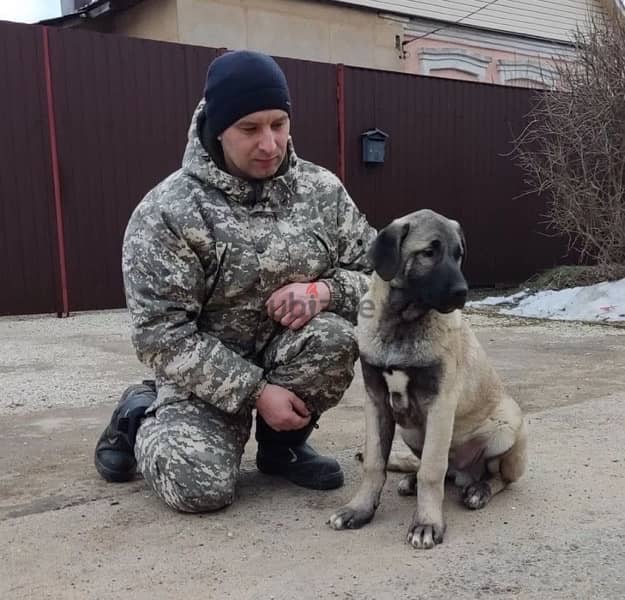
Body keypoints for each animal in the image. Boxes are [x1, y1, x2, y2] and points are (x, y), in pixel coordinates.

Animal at [326, 210, 528, 548]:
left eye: (458, 255)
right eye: (429, 253)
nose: (462, 292)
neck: (402, 323)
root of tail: (464, 474)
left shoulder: (440, 404)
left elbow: (431, 471)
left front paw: (426, 523)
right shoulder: (375, 399)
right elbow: (374, 463)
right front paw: (360, 509)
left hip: (507, 424)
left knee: (498, 477)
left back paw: (478, 490)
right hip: (411, 431)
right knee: (435, 469)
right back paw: (410, 479)